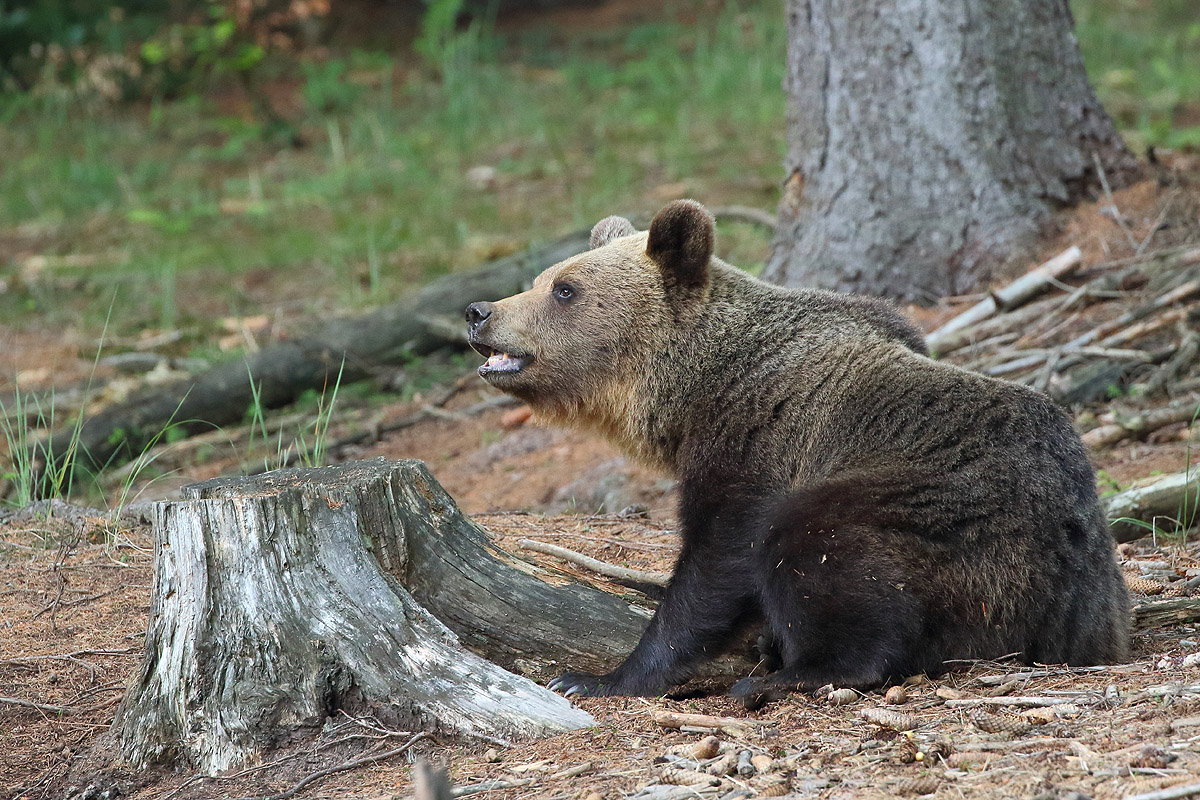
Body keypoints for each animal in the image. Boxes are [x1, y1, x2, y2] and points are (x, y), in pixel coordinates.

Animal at [463, 201, 1128, 705]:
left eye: (564, 288)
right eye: (545, 277)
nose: (479, 311)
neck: (694, 391)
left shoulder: (757, 444)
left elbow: (720, 560)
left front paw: (596, 678)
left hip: (951, 518)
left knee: (818, 544)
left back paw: (782, 678)